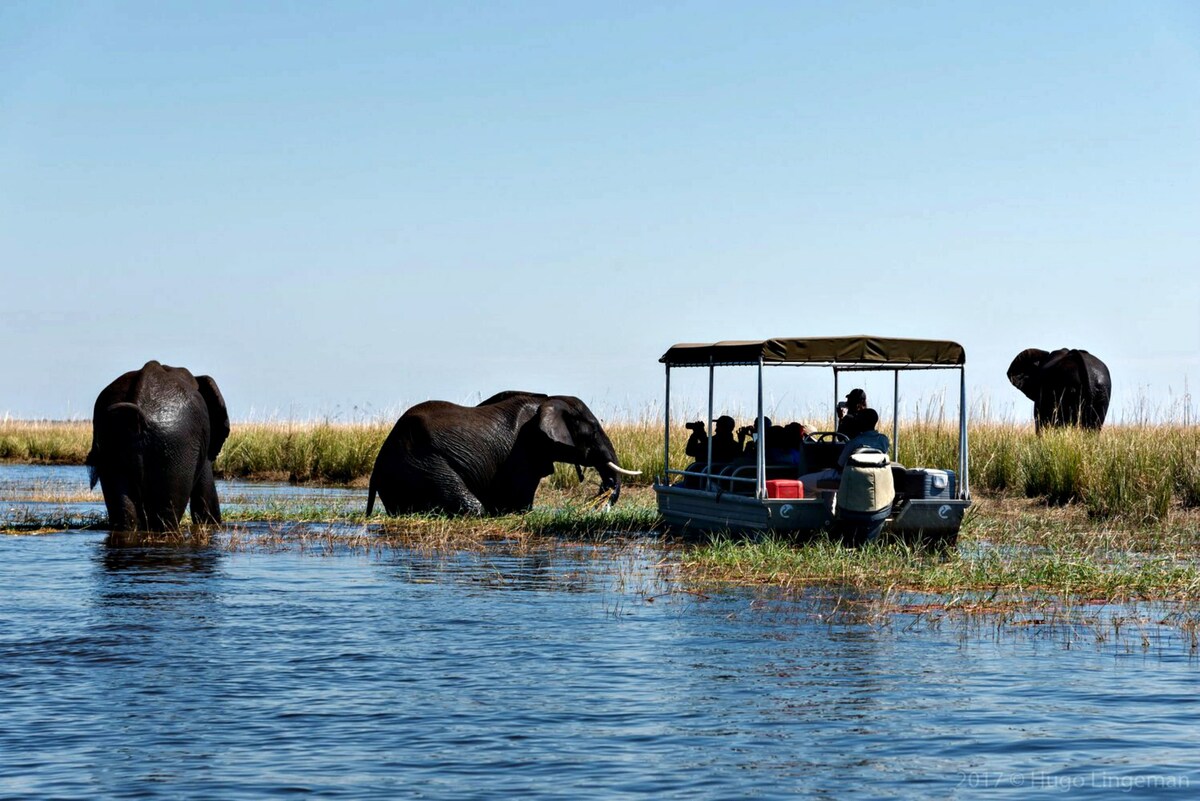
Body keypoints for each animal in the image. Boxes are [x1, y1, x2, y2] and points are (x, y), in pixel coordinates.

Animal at [364, 390, 643, 515]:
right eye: (593, 429)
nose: (599, 504)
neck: (549, 401)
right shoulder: (523, 452)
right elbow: (519, 500)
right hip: (421, 463)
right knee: (469, 504)